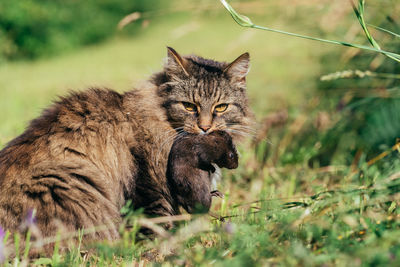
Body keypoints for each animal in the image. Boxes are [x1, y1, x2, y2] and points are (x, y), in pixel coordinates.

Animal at [0, 46, 253, 253]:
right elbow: (157, 225)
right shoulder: (147, 187)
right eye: (189, 106)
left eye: (221, 107)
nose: (205, 127)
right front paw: (165, 250)